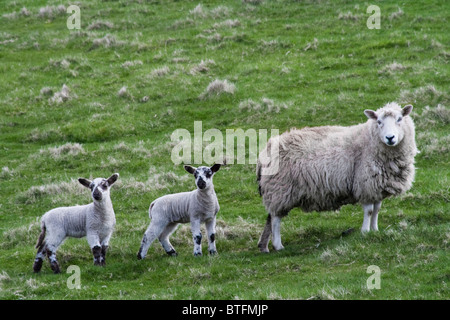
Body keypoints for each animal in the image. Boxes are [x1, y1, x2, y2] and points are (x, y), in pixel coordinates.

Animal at [256, 102, 418, 252]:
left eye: (399, 119)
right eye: (378, 121)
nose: (390, 138)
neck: (369, 141)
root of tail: (265, 151)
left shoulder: (376, 187)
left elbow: (377, 209)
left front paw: (375, 229)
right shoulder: (364, 184)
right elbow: (369, 211)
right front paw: (365, 231)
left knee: (271, 217)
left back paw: (265, 246)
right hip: (280, 190)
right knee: (276, 219)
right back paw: (278, 245)